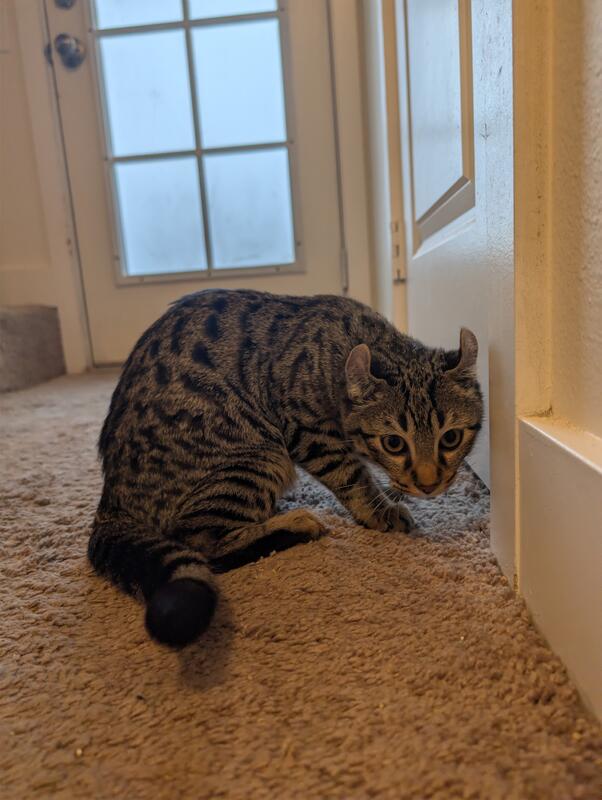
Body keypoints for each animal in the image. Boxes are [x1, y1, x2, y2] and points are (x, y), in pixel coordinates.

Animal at [89, 290, 483, 648]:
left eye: (450, 438)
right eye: (394, 444)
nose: (429, 484)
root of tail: (111, 500)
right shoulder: (308, 430)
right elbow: (353, 476)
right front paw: (380, 509)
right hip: (260, 453)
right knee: (203, 541)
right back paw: (295, 524)